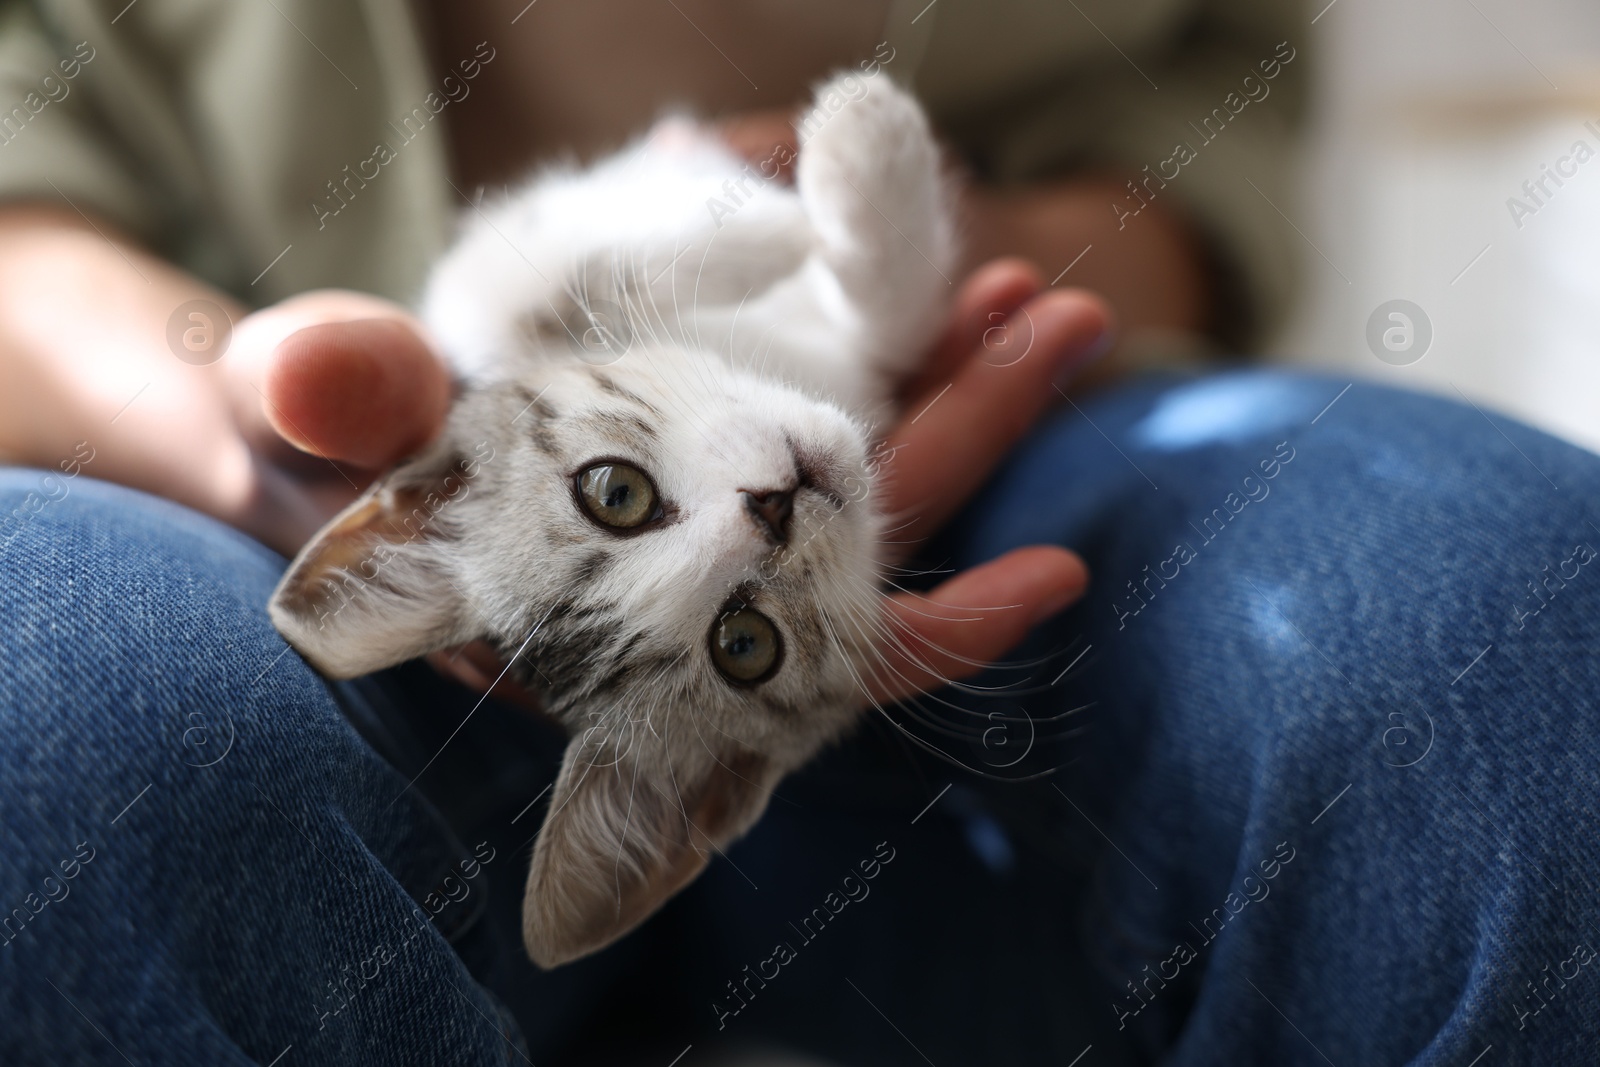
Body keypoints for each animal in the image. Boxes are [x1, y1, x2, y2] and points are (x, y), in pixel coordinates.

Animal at [268, 68, 953, 966]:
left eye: (613, 493)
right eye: (744, 644)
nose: (774, 504)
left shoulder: (482, 304)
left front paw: (825, 173)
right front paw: (825, 183)